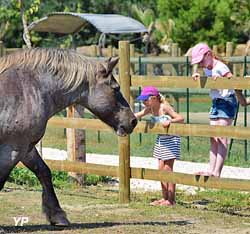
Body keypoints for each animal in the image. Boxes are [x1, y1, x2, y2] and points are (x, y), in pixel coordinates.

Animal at [0, 48, 138, 226]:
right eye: (115, 88)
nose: (133, 121)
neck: (26, 90)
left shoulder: (26, 148)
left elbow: (44, 171)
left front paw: (57, 215)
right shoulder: (13, 148)